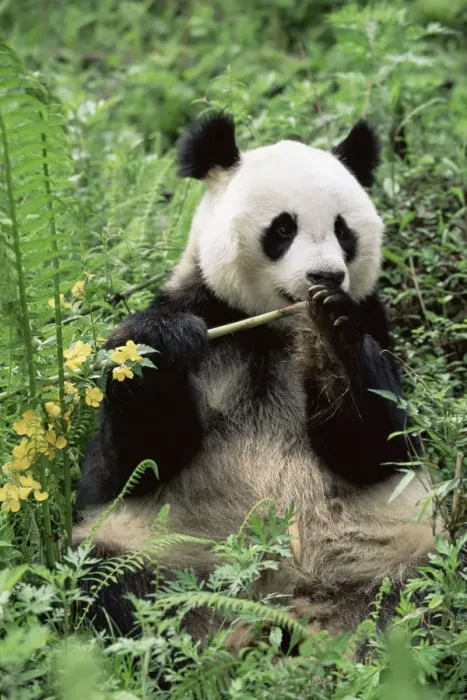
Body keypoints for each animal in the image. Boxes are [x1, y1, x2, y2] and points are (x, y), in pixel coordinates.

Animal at [73, 111, 438, 643]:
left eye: (343, 231)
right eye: (283, 227)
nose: (326, 277)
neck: (274, 326)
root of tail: (288, 604)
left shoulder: (375, 321)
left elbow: (382, 448)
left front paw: (332, 333)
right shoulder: (203, 310)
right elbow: (129, 464)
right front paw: (162, 343)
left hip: (395, 545)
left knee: (430, 588)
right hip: (163, 547)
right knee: (109, 579)